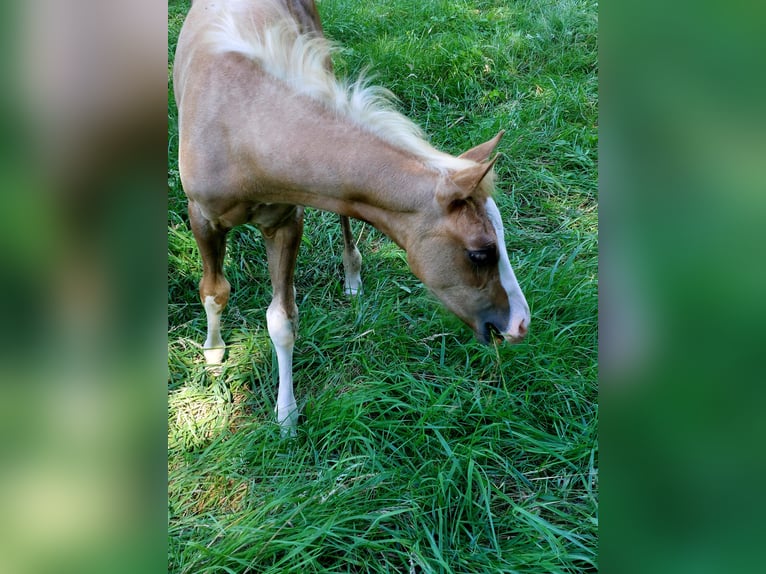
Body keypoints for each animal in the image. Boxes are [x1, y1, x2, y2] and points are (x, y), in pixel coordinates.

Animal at [173, 0, 530, 435]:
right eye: (480, 253)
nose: (520, 324)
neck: (240, 127)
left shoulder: (285, 223)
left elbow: (282, 319)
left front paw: (286, 416)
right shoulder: (202, 218)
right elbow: (214, 291)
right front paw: (213, 354)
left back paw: (352, 276)